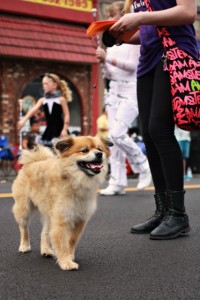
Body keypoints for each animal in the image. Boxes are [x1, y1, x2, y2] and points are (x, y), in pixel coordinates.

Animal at [12, 135, 111, 270]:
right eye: (85, 150)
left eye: (100, 149)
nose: (99, 154)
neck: (74, 181)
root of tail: (33, 161)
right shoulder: (61, 220)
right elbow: (62, 243)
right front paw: (66, 262)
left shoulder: (80, 219)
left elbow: (72, 240)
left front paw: (70, 255)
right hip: (24, 209)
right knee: (24, 228)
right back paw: (24, 246)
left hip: (49, 214)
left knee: (44, 233)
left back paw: (46, 250)